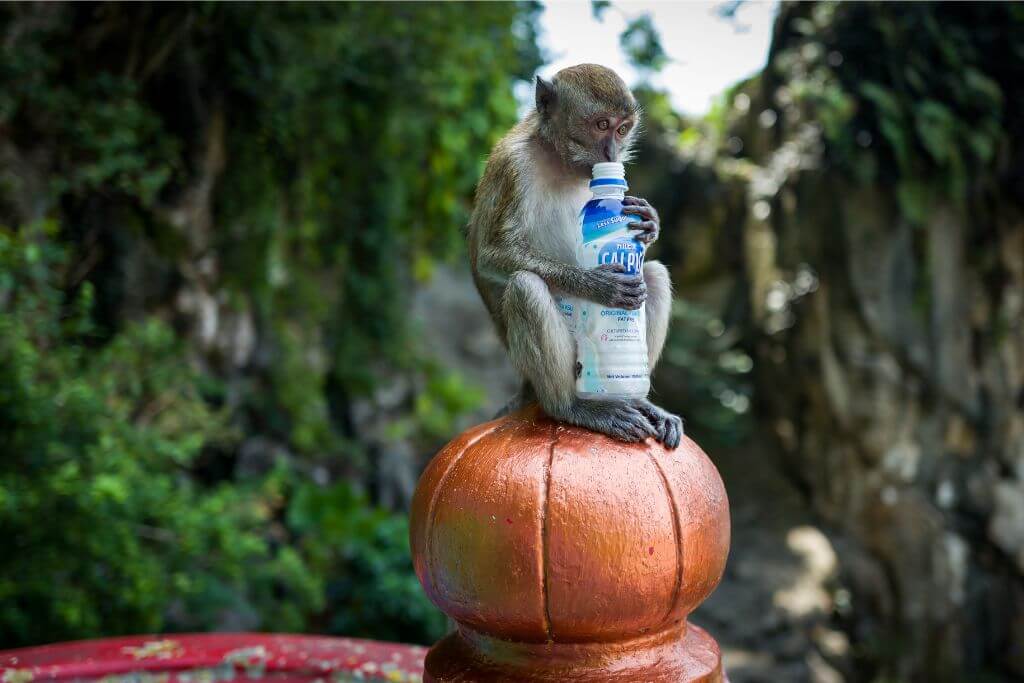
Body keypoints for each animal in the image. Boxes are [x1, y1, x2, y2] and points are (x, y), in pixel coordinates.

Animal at [468, 62, 679, 448]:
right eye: (601, 125)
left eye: (622, 129)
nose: (613, 154)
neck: (558, 158)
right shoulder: (512, 167)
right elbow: (490, 255)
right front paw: (599, 286)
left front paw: (650, 221)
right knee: (525, 287)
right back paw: (572, 407)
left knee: (654, 274)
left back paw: (637, 399)